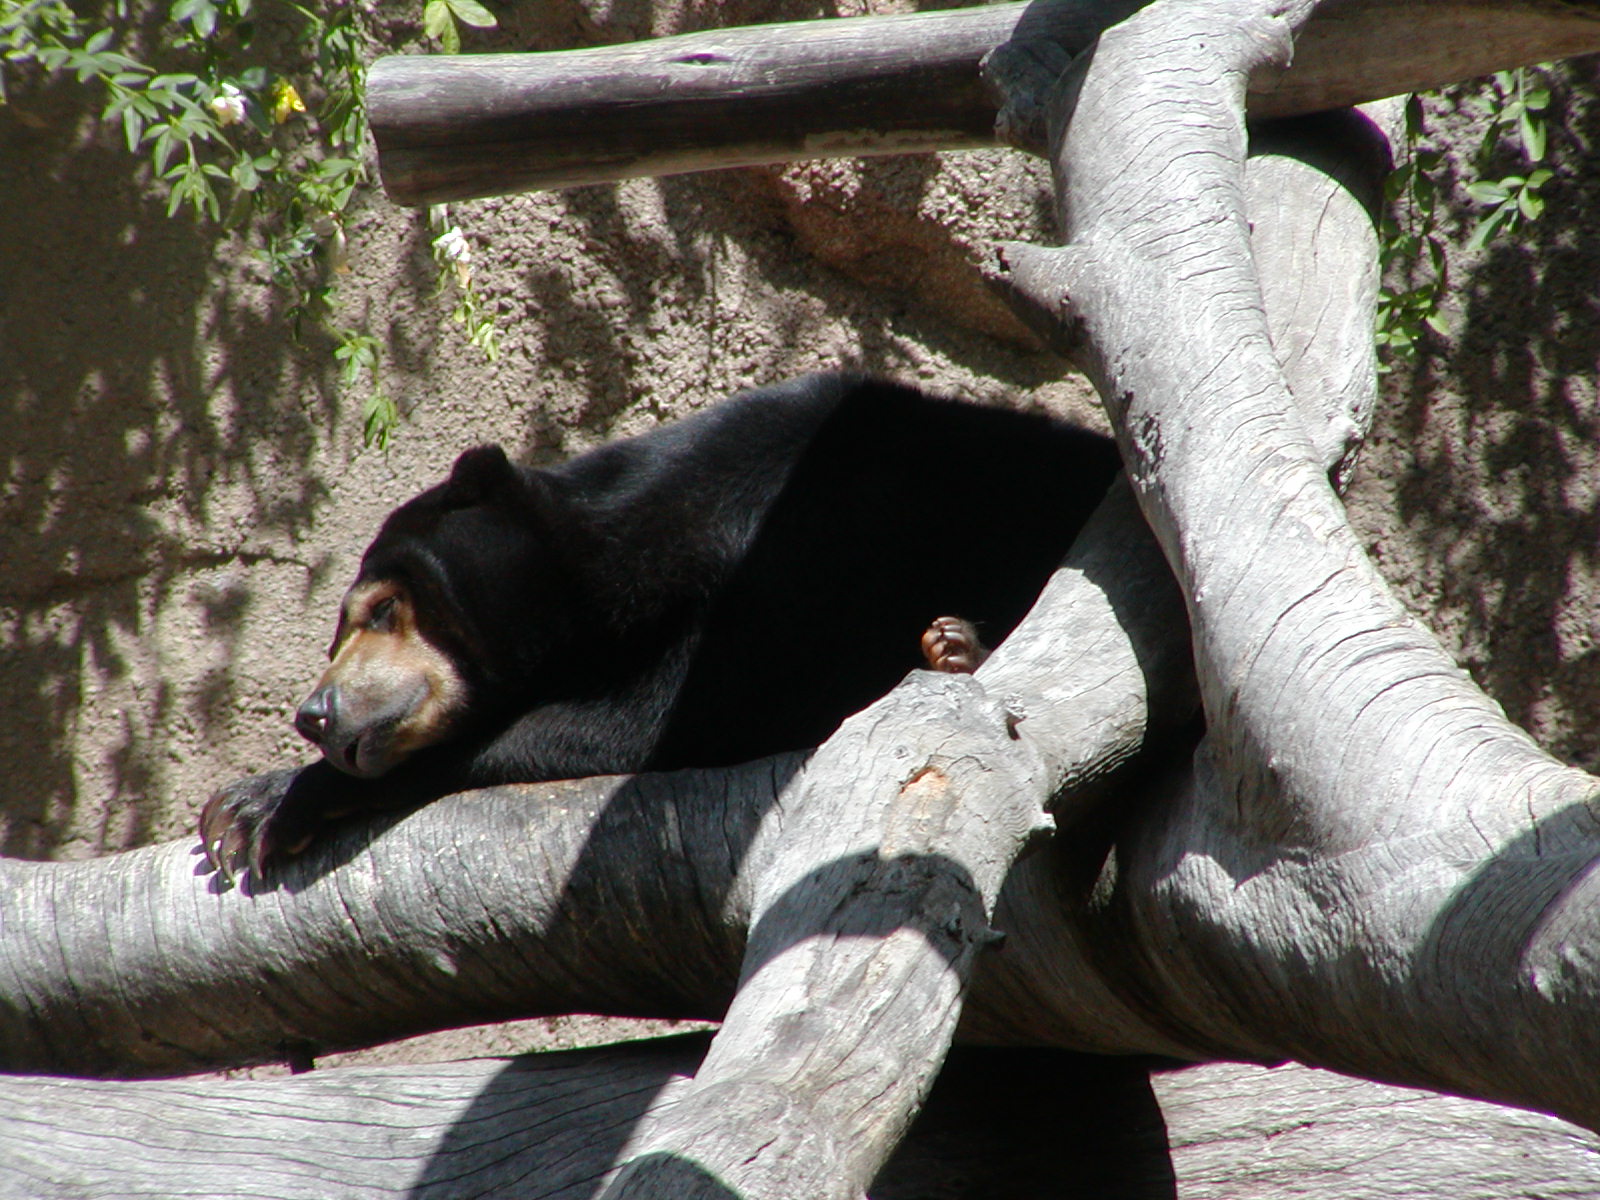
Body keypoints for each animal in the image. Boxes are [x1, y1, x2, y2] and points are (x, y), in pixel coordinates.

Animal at [199, 374, 1122, 881]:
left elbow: (642, 723)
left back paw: (959, 642)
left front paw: (273, 801)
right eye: (341, 630)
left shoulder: (807, 549)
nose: (316, 714)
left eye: (386, 607)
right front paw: (245, 802)